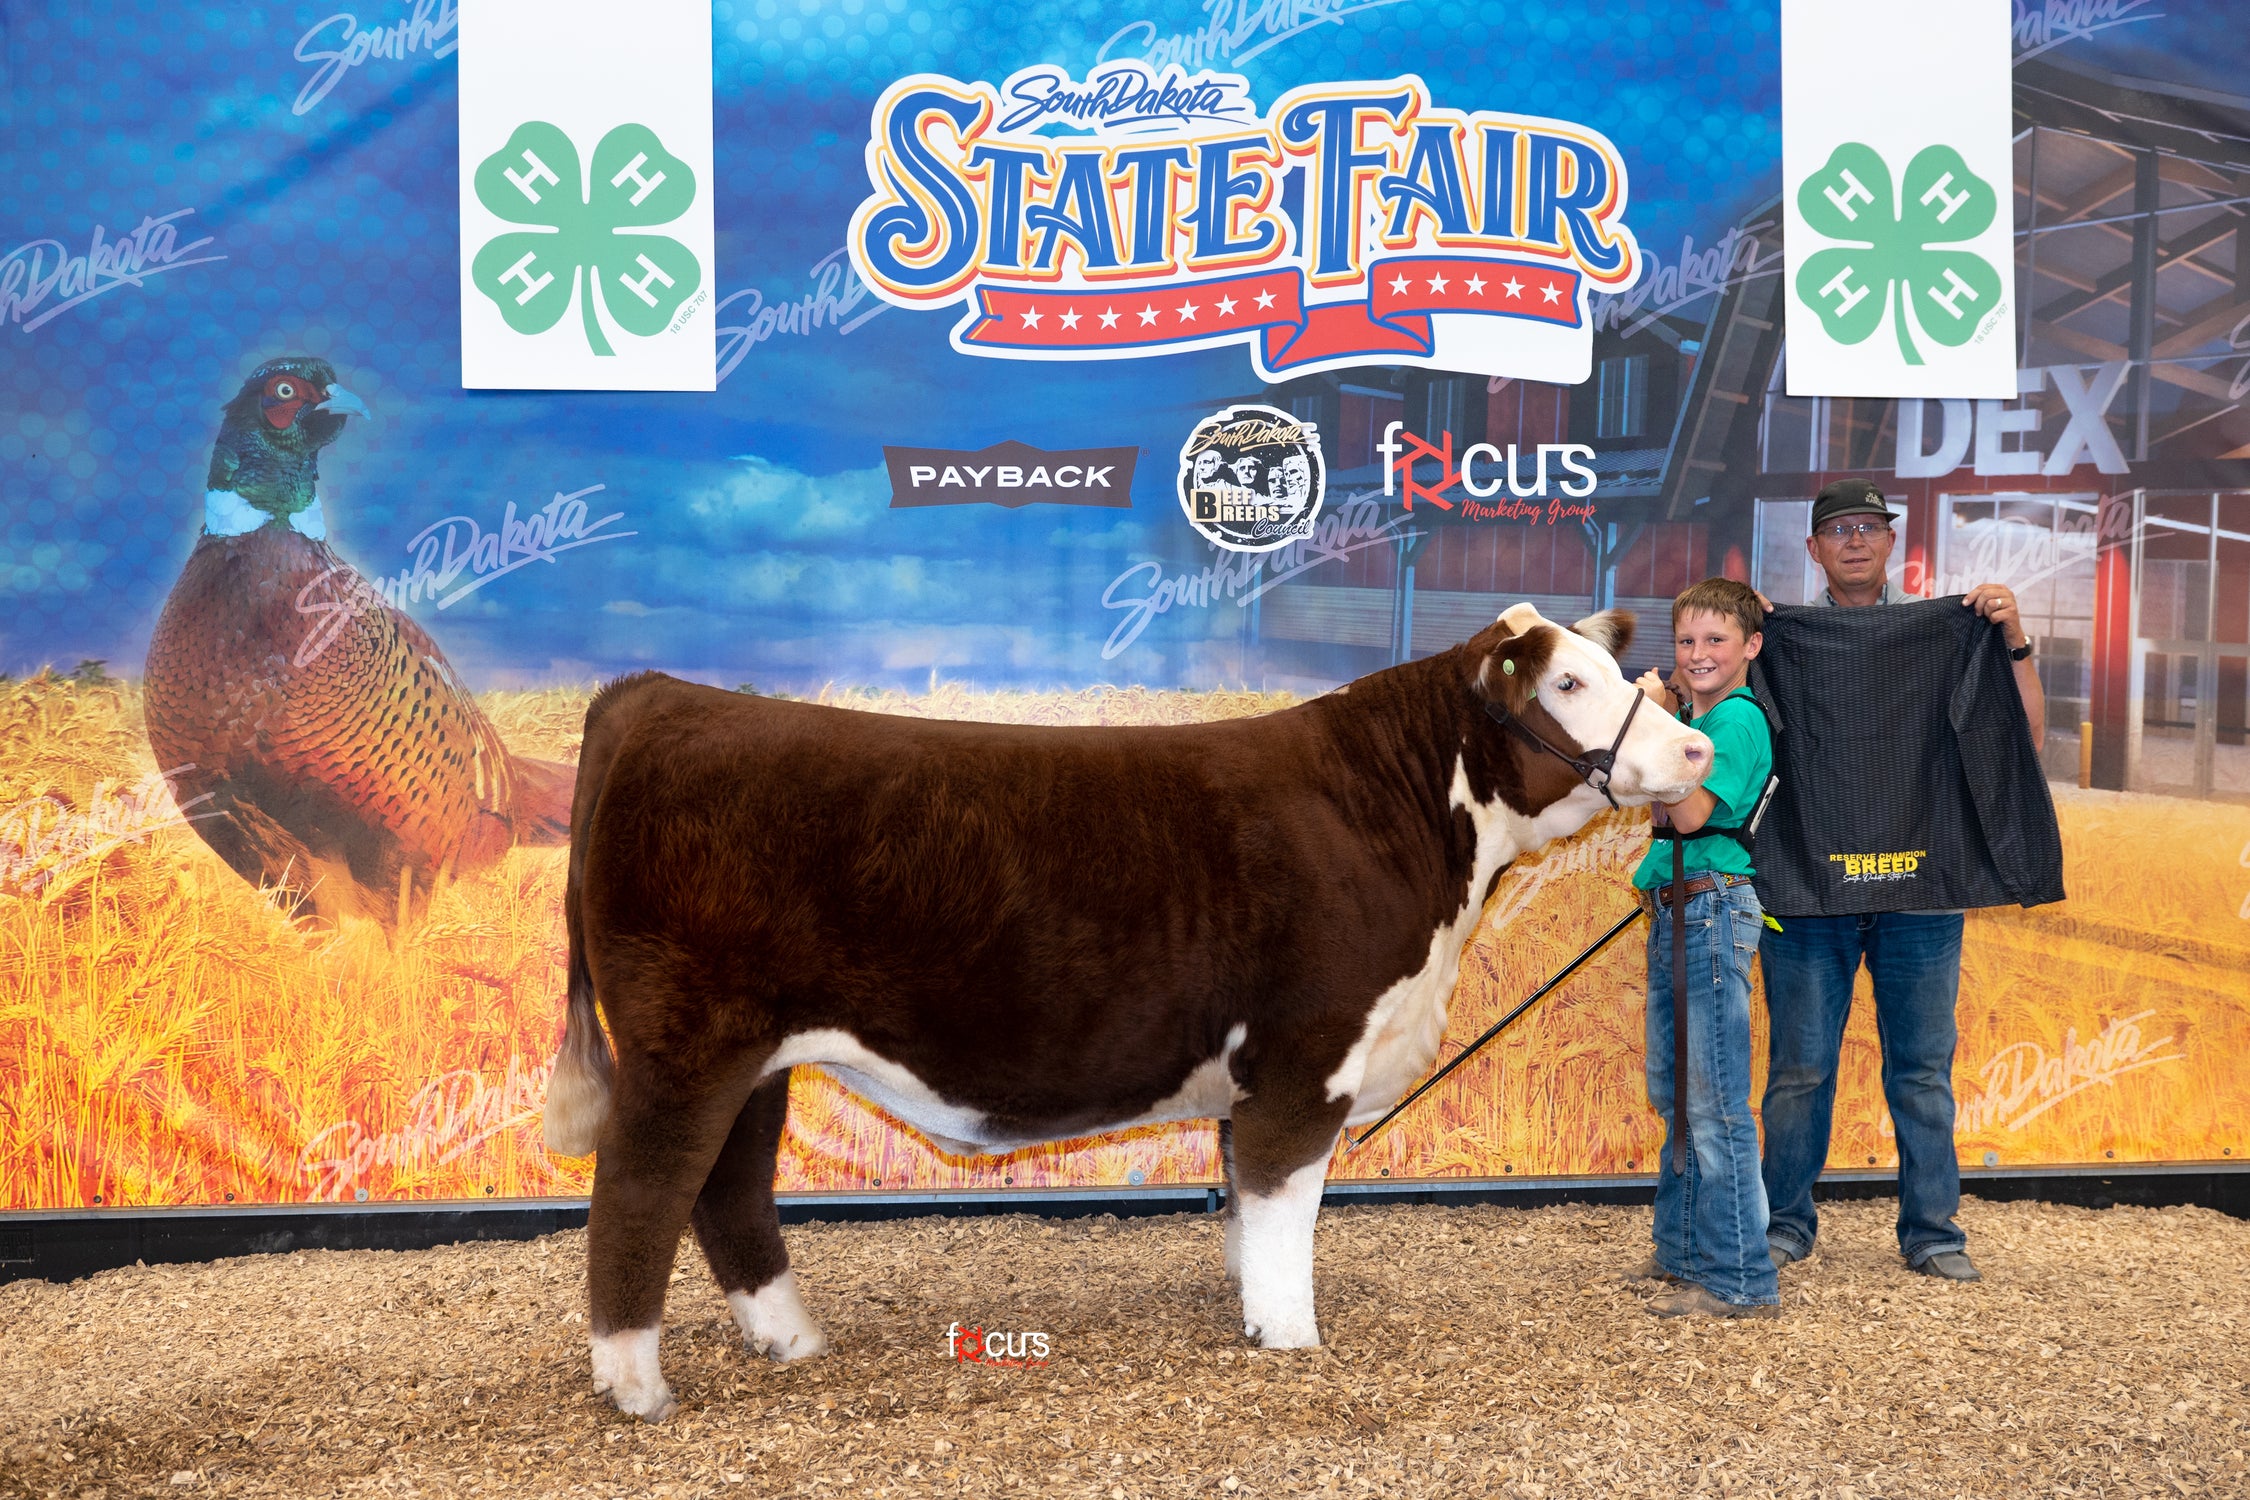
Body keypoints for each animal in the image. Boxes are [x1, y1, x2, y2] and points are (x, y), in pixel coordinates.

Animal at [540, 602, 1701, 1421]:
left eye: (1622, 671)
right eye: (1567, 680)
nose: (1697, 752)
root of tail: (655, 698)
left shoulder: (1257, 1072)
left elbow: (1246, 1199)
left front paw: (1249, 1304)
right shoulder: (1308, 1052)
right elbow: (1287, 1203)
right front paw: (1292, 1336)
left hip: (758, 1057)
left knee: (730, 1188)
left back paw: (790, 1341)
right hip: (687, 1043)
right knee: (642, 1189)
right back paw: (635, 1387)